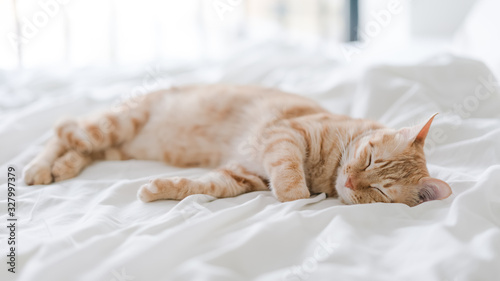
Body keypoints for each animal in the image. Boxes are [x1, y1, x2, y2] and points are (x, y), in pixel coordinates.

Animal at [23, 84, 454, 205]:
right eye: (367, 159)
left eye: (379, 191)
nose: (349, 182)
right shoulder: (286, 135)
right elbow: (292, 180)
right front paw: (297, 195)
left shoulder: (240, 175)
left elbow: (197, 186)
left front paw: (158, 189)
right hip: (114, 126)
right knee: (65, 132)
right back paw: (40, 166)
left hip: (117, 147)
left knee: (81, 152)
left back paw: (60, 168)